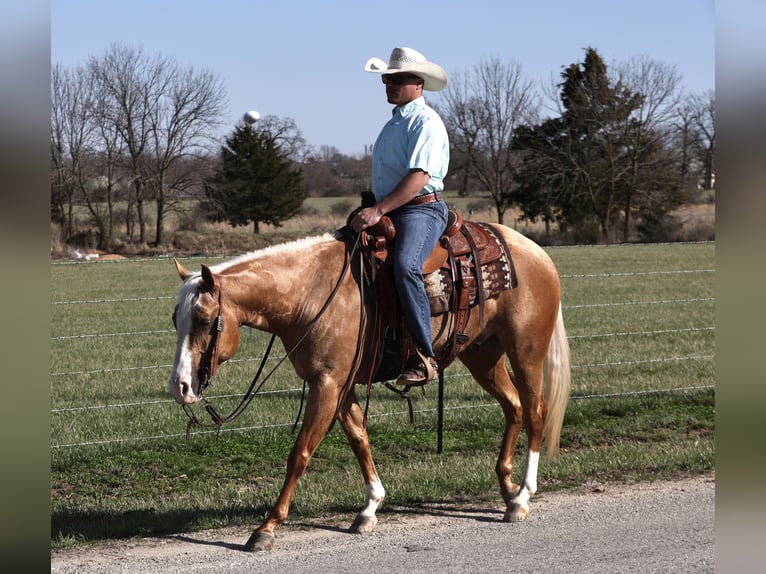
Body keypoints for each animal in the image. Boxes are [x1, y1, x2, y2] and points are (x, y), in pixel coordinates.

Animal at [170, 225, 576, 552]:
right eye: (176, 319)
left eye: (205, 319)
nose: (180, 386)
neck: (309, 292)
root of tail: (536, 251)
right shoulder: (341, 386)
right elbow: (359, 438)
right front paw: (369, 508)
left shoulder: (327, 384)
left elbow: (300, 454)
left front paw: (266, 528)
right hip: (483, 356)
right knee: (514, 408)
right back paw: (507, 490)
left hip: (526, 353)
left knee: (535, 412)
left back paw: (523, 496)